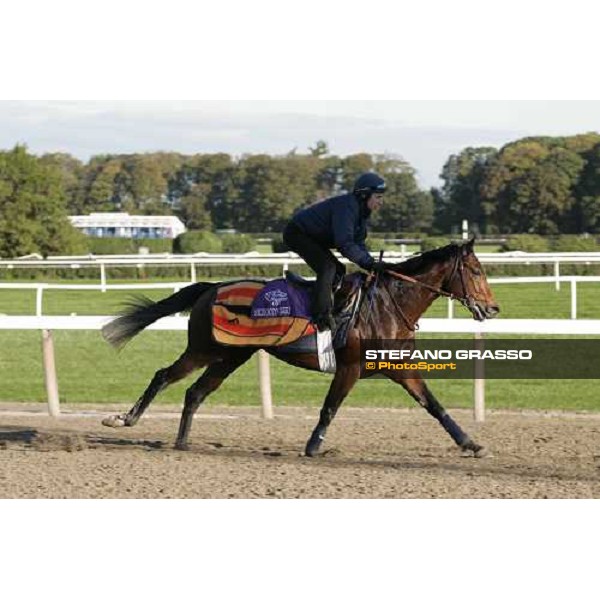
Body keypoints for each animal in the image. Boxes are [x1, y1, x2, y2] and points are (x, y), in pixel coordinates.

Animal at [102, 239, 496, 460]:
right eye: (476, 271)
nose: (492, 308)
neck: (385, 304)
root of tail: (211, 287)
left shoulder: (399, 368)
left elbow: (434, 405)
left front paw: (471, 443)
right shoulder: (349, 368)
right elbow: (329, 408)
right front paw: (313, 447)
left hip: (230, 356)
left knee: (195, 392)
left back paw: (183, 441)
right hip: (204, 349)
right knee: (164, 375)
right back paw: (126, 418)